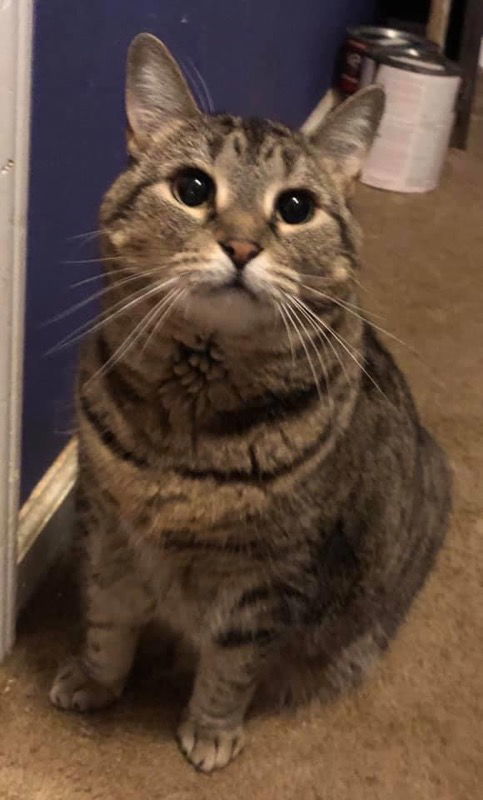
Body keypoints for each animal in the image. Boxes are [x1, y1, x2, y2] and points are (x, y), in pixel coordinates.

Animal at [48, 34, 450, 772]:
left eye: (295, 207)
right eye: (193, 189)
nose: (240, 245)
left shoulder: (266, 579)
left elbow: (229, 668)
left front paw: (210, 729)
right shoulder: (106, 528)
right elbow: (107, 619)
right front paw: (95, 680)